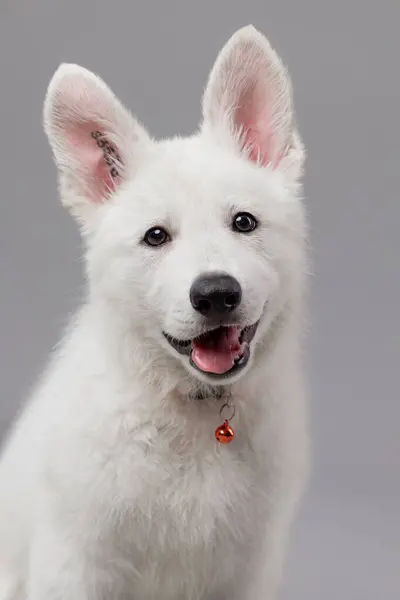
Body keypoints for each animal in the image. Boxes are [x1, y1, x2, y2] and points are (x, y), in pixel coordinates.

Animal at [0, 24, 310, 600]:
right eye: (156, 237)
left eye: (244, 222)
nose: (216, 294)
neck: (195, 415)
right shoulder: (74, 562)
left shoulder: (251, 567)